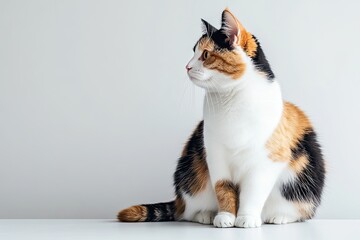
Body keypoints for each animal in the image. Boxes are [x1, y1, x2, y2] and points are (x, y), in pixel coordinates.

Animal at [118, 8, 326, 228]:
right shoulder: (215, 155)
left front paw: (246, 218)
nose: (187, 66)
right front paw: (226, 216)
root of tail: (179, 201)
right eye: (193, 52)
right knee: (188, 211)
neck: (230, 100)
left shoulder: (266, 162)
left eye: (205, 54)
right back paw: (206, 215)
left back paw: (279, 217)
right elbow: (223, 187)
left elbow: (252, 192)